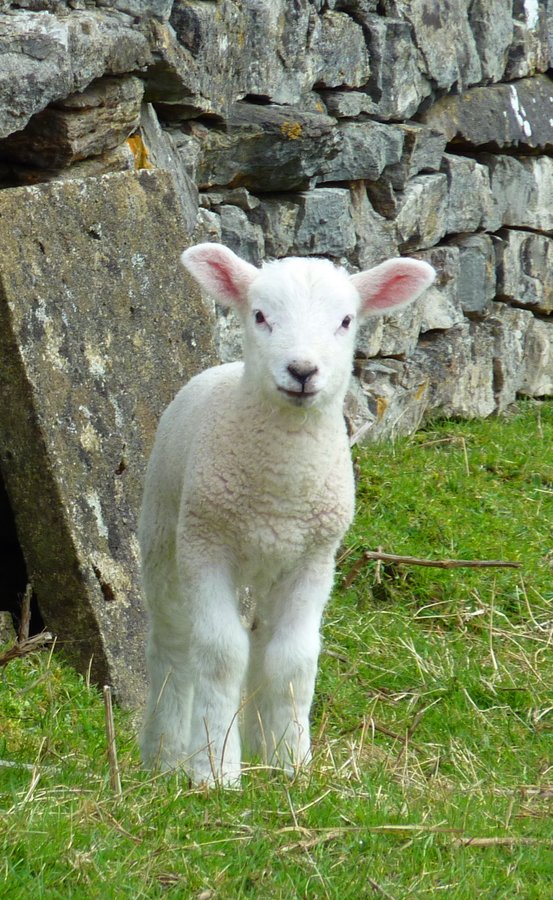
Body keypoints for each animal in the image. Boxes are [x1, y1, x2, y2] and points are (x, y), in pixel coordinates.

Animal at [139, 242, 435, 787]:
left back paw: (259, 747)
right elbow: (220, 655)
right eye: (260, 315)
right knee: (173, 643)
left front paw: (292, 764)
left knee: (261, 647)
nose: (301, 371)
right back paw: (166, 757)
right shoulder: (206, 547)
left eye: (346, 320)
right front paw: (215, 770)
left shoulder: (313, 560)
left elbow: (293, 660)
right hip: (164, 535)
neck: (280, 490)